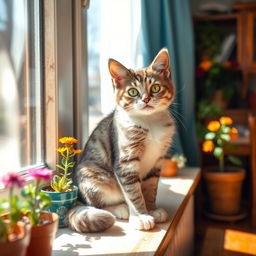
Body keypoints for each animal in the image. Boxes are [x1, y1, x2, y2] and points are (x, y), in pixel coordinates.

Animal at [65, 47, 176, 232]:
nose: (146, 99)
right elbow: (133, 192)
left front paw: (152, 209)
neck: (150, 122)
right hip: (92, 177)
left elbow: (150, 187)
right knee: (97, 203)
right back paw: (120, 209)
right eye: (133, 92)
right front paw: (141, 216)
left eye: (155, 87)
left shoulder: (157, 161)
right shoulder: (125, 161)